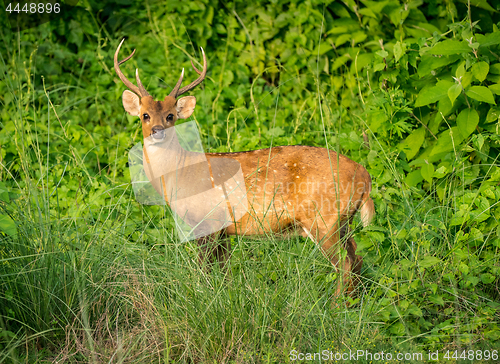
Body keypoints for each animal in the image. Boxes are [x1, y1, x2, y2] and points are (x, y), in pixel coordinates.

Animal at [114, 38, 376, 298]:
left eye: (170, 116)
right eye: (145, 115)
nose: (157, 130)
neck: (180, 172)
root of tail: (365, 176)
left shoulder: (206, 221)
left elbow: (204, 271)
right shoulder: (223, 230)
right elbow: (223, 271)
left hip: (324, 218)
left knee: (345, 263)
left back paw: (334, 304)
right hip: (341, 221)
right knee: (357, 257)